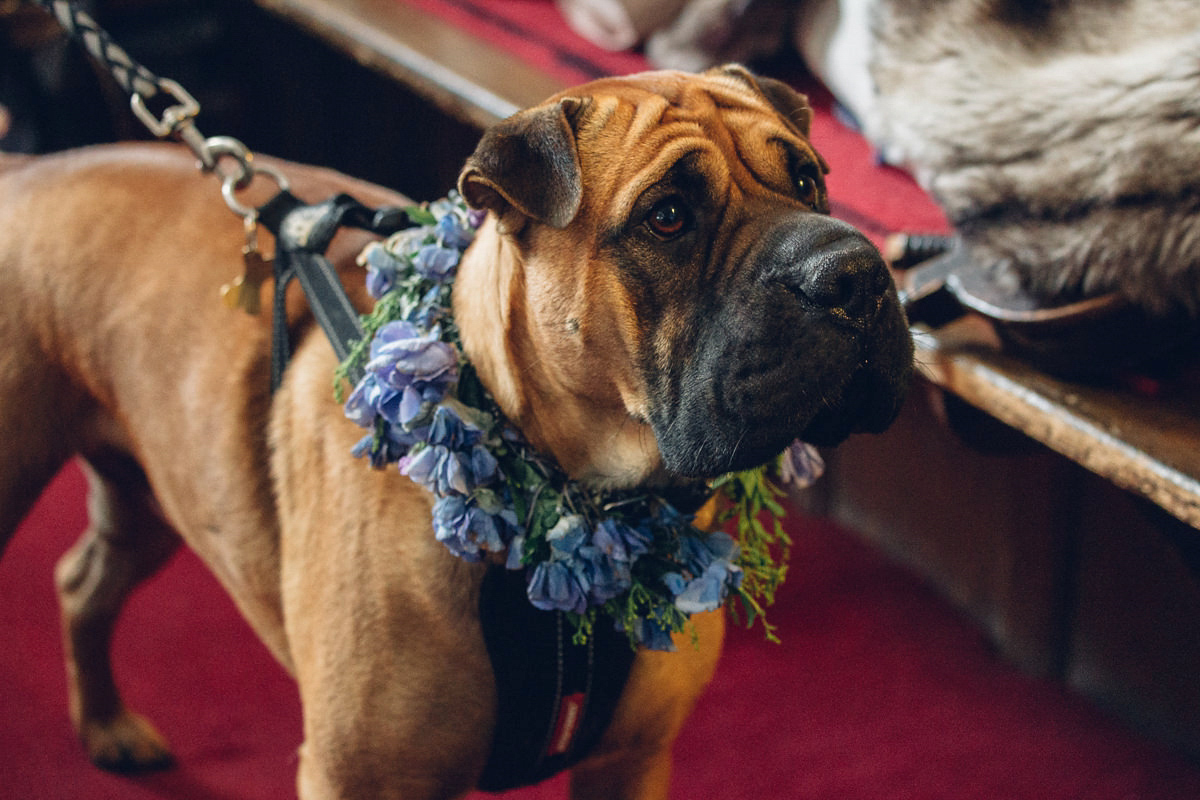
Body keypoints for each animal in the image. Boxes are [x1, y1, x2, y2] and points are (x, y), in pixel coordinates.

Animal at [0, 65, 907, 796]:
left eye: (810, 179)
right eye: (669, 217)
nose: (855, 275)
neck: (579, 493)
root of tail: (29, 164)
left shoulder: (631, 761)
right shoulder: (357, 776)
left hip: (154, 487)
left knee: (83, 581)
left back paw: (108, 728)